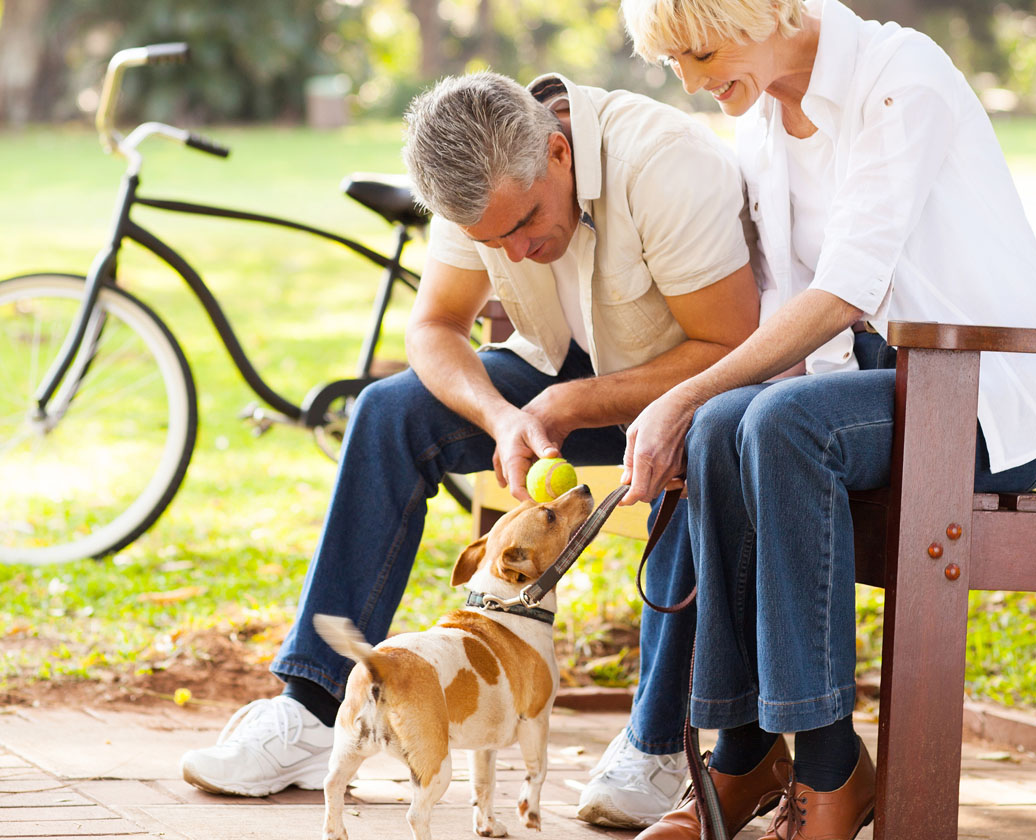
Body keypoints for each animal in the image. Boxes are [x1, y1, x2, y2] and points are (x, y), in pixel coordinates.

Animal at [312, 482, 592, 840]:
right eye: (549, 515)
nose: (584, 486)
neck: (507, 605)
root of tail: (383, 663)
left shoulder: (484, 747)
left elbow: (485, 785)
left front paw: (488, 825)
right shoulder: (536, 720)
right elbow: (538, 770)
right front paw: (530, 812)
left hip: (350, 750)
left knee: (331, 786)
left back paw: (336, 832)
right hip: (436, 765)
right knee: (416, 815)